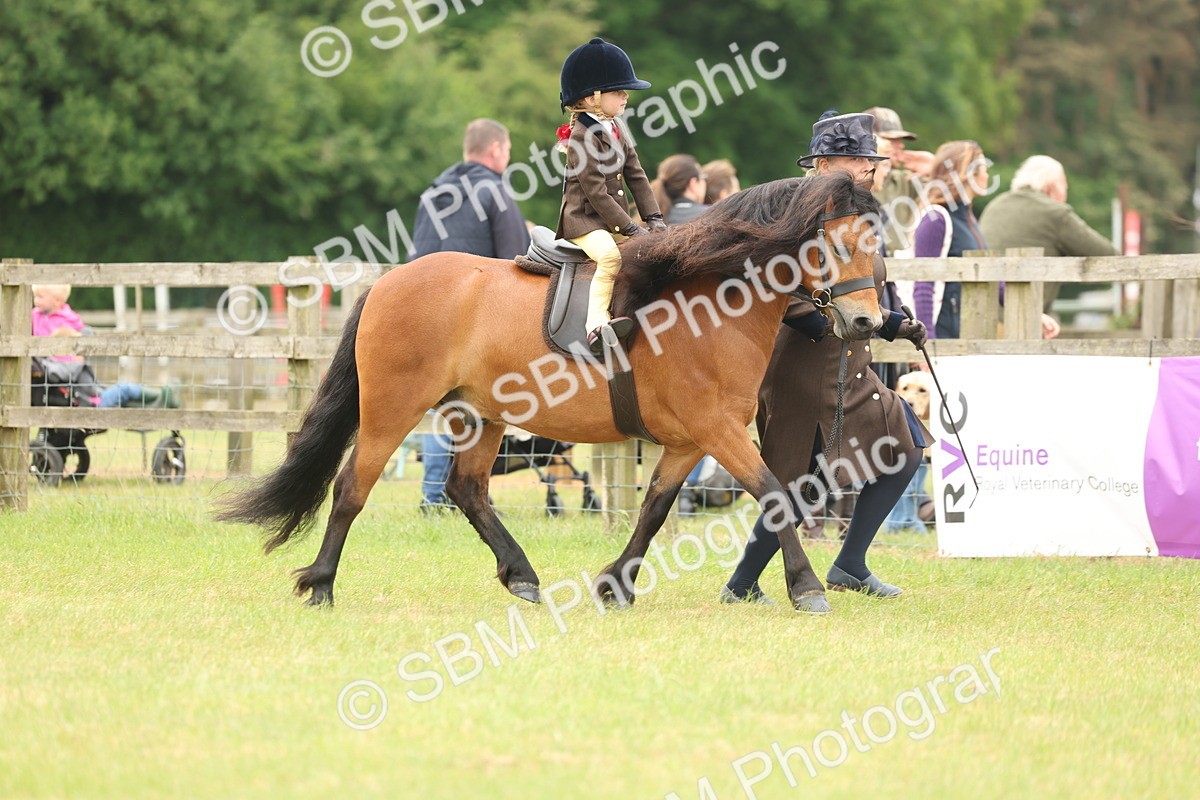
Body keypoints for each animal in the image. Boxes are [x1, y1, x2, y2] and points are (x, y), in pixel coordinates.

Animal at [216, 173, 882, 613]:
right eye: (838, 244)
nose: (868, 323)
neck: (709, 302)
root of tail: (389, 282)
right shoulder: (717, 432)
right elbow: (774, 495)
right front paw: (807, 588)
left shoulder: (690, 443)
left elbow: (654, 508)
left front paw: (616, 584)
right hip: (391, 410)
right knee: (353, 486)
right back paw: (321, 584)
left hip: (481, 415)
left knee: (467, 489)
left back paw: (522, 576)